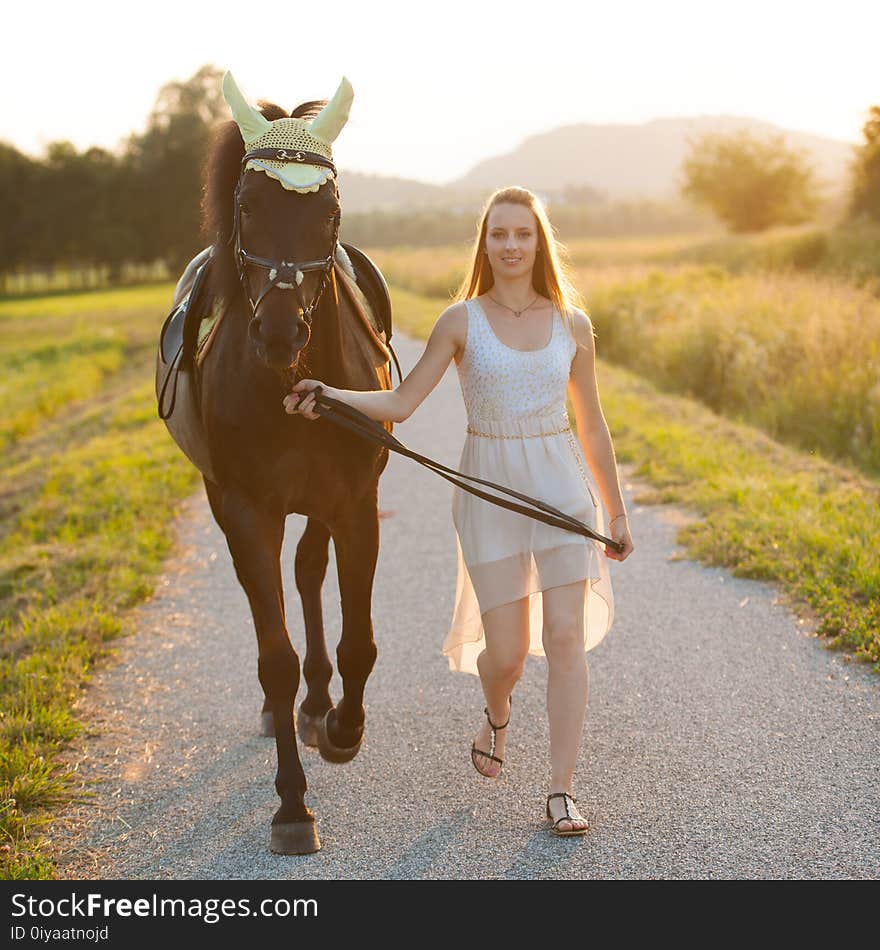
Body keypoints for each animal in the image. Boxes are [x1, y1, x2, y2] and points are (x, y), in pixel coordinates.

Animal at [158, 78, 392, 860]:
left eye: (329, 214)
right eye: (247, 208)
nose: (280, 332)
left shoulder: (354, 504)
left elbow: (358, 642)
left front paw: (342, 727)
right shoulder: (245, 509)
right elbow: (274, 656)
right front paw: (292, 804)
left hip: (318, 503)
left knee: (310, 575)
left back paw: (321, 708)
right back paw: (289, 710)